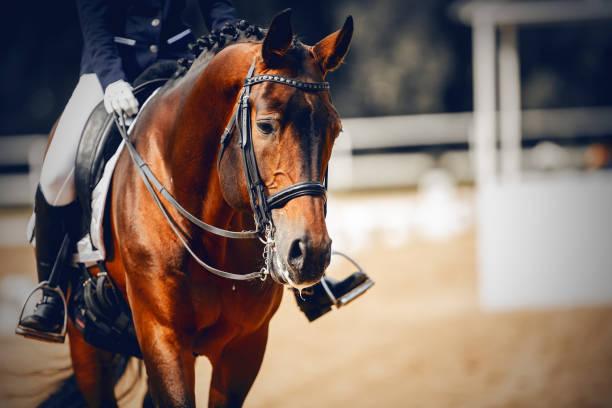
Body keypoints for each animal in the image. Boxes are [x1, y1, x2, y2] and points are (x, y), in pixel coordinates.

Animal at [58, 9, 354, 408]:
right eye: (265, 126)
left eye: (335, 131)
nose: (309, 254)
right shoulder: (163, 339)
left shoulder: (245, 346)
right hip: (87, 345)